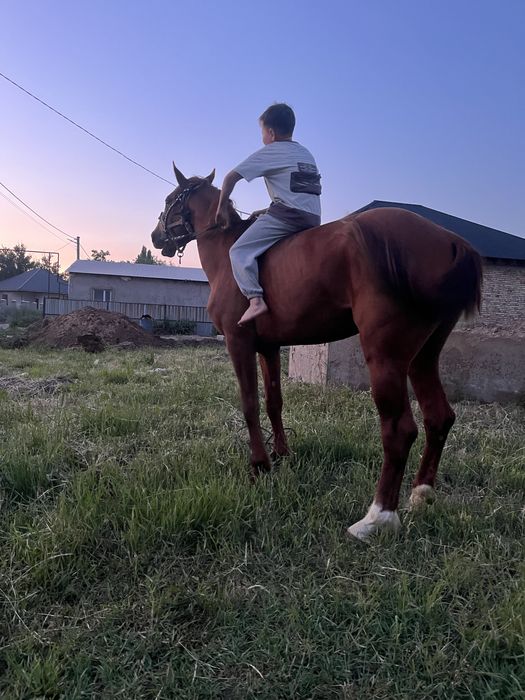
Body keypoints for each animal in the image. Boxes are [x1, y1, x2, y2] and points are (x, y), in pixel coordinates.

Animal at [151, 164, 483, 542]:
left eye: (170, 200)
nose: (156, 237)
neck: (228, 251)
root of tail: (451, 242)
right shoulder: (269, 347)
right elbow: (273, 402)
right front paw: (281, 453)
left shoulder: (239, 343)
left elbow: (249, 404)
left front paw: (259, 464)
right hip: (423, 357)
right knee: (438, 417)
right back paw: (421, 495)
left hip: (386, 358)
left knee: (399, 430)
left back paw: (377, 517)